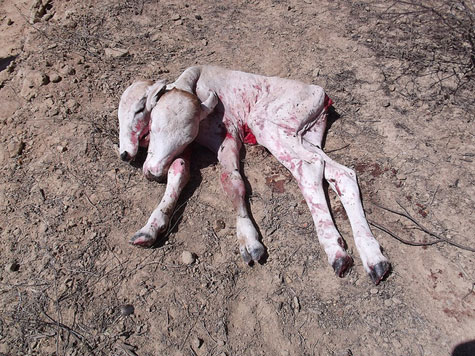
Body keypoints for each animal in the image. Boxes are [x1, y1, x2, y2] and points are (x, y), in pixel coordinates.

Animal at [118, 66, 390, 284]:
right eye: (153, 127)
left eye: (141, 111)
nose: (152, 172)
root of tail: (321, 94)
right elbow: (178, 172)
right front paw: (150, 228)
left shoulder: (228, 134)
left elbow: (232, 181)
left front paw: (249, 241)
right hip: (305, 133)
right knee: (340, 173)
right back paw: (373, 258)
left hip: (270, 122)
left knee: (308, 167)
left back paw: (337, 251)